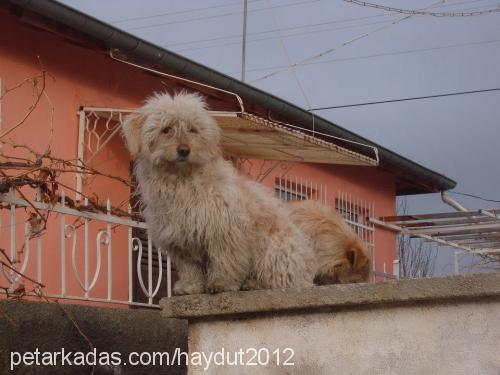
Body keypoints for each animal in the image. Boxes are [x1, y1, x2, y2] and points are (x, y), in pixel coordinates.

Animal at [121, 92, 314, 296]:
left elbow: (225, 261)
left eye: (192, 129)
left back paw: (255, 283)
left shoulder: (224, 232)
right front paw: (189, 286)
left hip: (275, 252)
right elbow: (190, 268)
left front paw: (222, 283)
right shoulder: (181, 240)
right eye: (166, 129)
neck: (182, 180)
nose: (184, 150)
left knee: (279, 279)